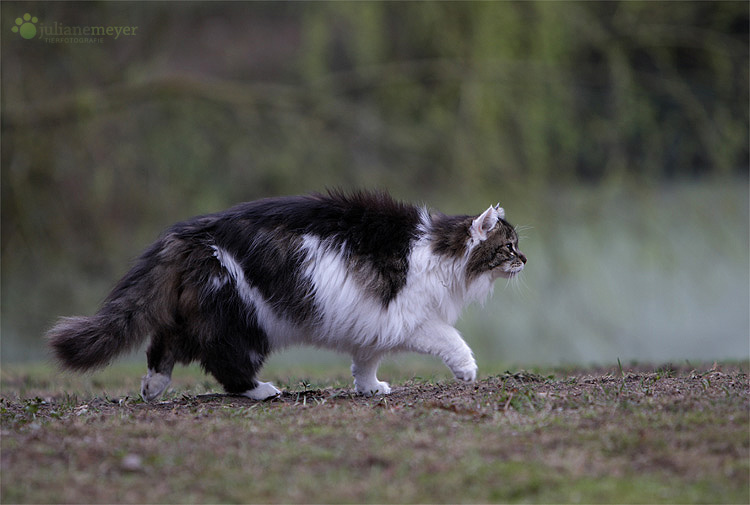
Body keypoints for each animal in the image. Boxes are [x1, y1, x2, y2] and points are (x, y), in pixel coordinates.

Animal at [47, 190, 528, 402]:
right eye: (508, 247)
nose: (525, 260)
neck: (440, 249)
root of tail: (186, 233)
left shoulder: (373, 320)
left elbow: (365, 361)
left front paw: (370, 388)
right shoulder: (411, 317)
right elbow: (452, 340)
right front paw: (467, 371)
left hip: (203, 311)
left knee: (163, 345)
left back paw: (152, 388)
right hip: (244, 320)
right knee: (221, 361)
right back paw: (260, 391)